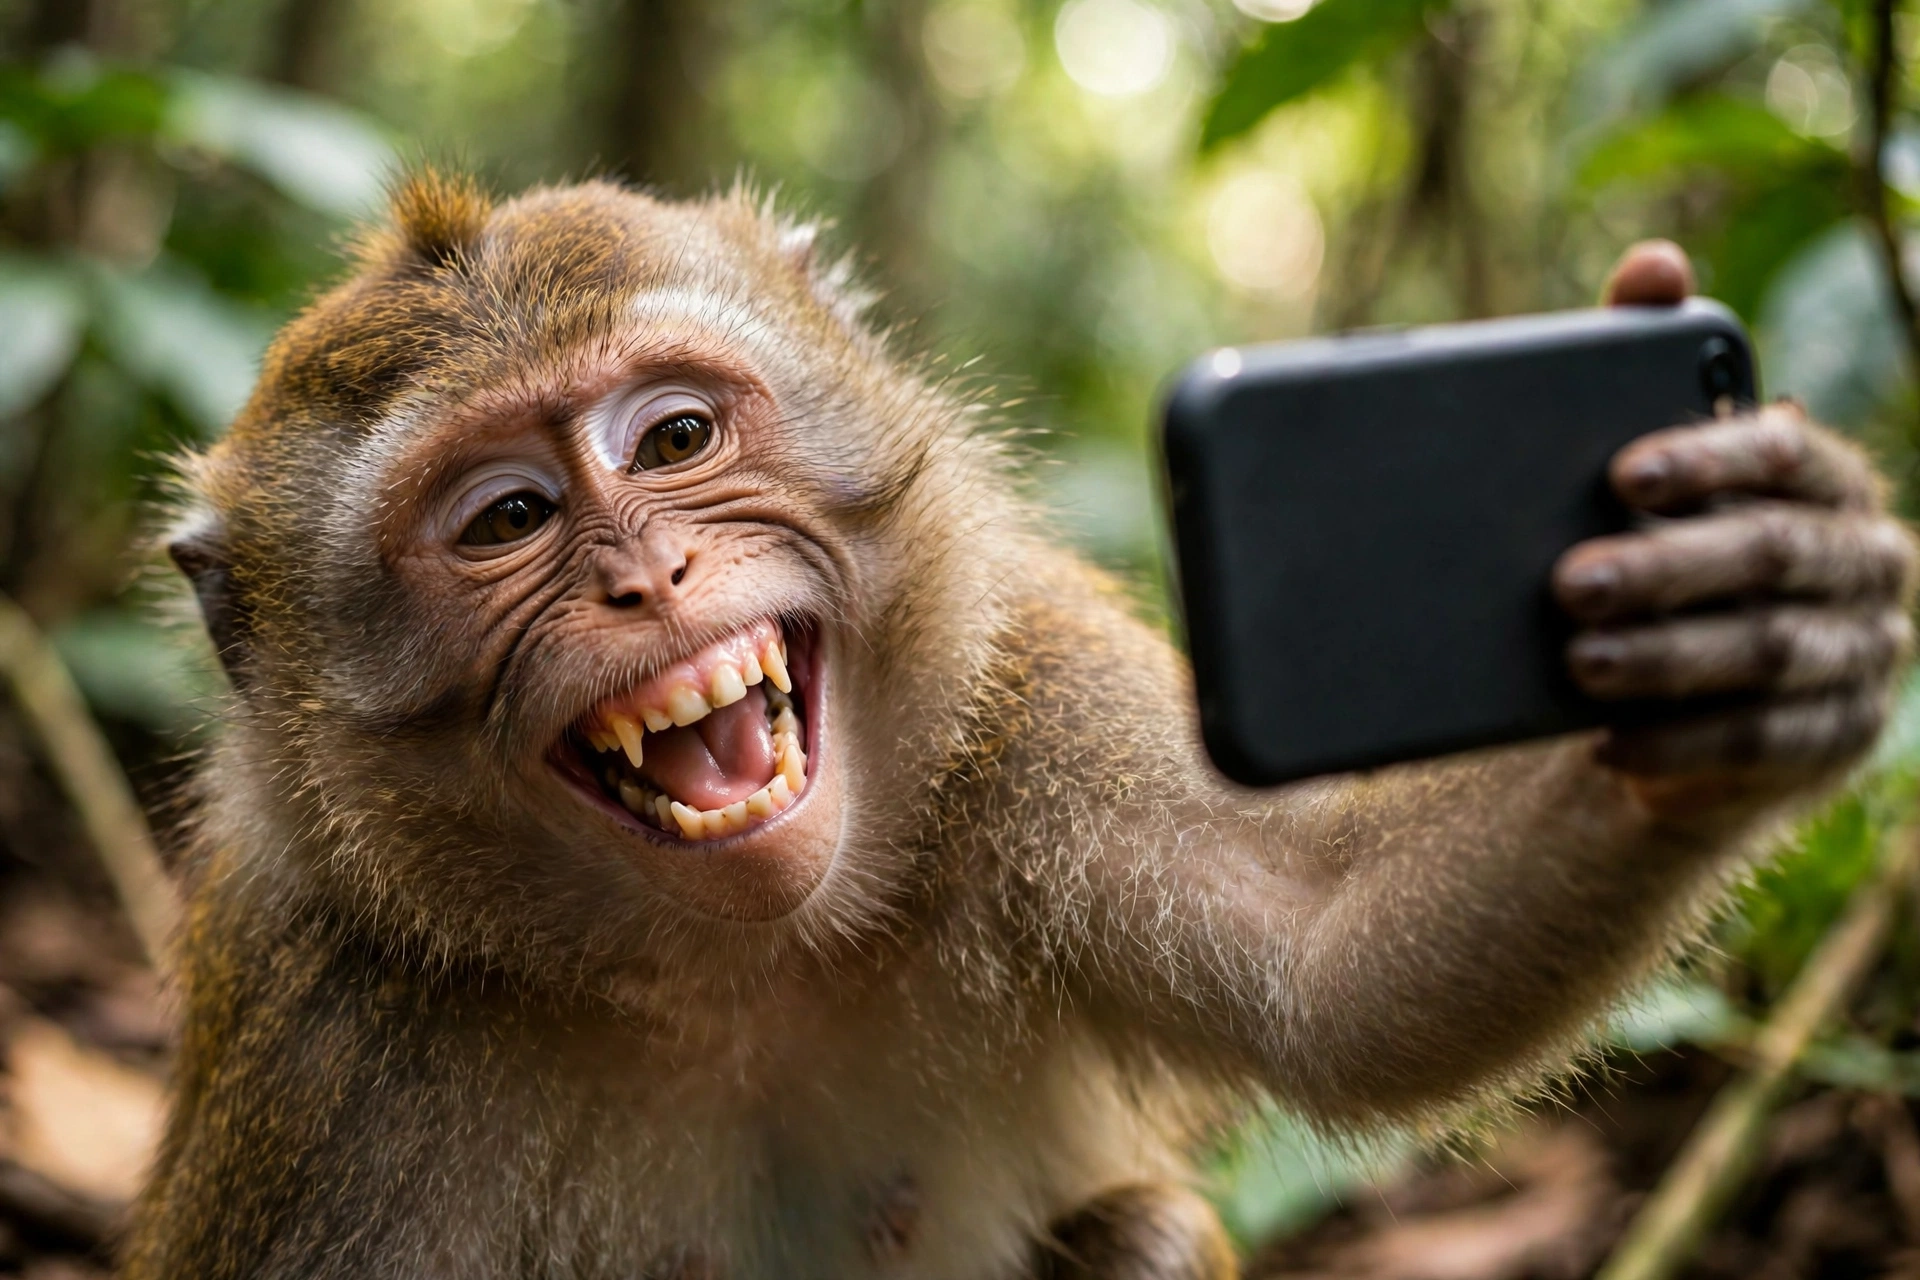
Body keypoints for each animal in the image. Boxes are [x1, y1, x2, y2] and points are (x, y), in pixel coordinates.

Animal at [121, 172, 1914, 1280]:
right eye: (505, 520)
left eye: (676, 437)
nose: (646, 574)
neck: (731, 967)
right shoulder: (326, 1045)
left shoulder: (1019, 696)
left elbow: (1337, 965)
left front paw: (1747, 618)